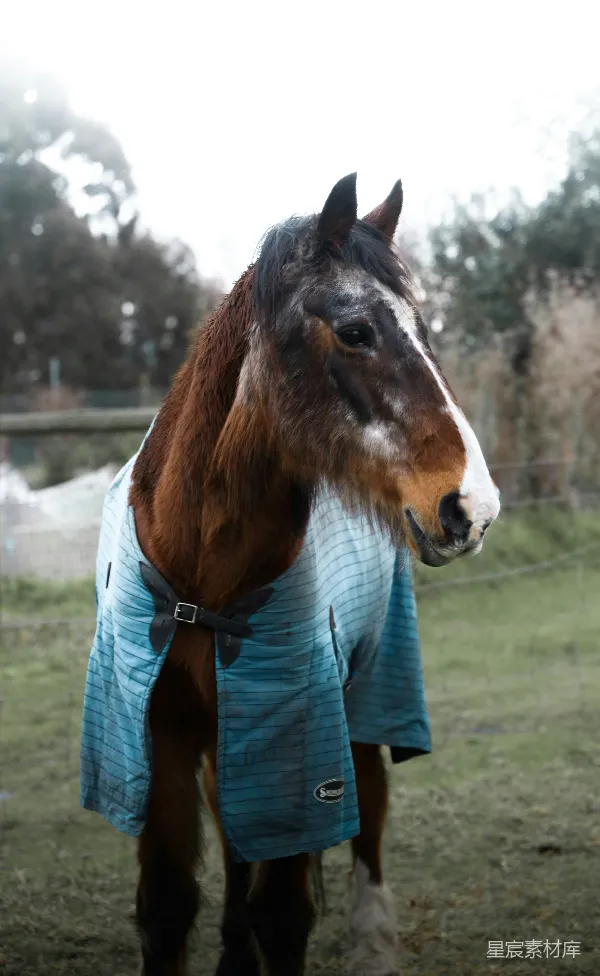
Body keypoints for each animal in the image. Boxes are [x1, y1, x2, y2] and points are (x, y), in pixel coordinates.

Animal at [80, 172, 500, 976]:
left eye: (425, 329)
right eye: (356, 331)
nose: (473, 506)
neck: (201, 585)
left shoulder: (296, 736)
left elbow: (282, 912)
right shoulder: (158, 738)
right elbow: (168, 906)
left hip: (366, 692)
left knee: (368, 812)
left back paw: (372, 940)